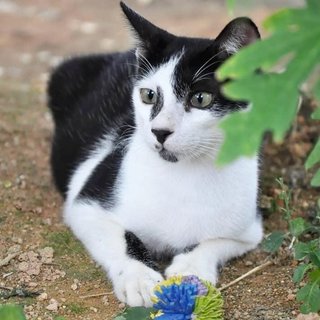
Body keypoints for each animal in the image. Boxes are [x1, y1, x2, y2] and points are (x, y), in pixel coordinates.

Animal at [47, 1, 262, 308]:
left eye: (201, 99)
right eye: (148, 95)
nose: (159, 131)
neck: (183, 175)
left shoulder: (249, 231)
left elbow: (213, 241)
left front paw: (191, 268)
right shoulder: (85, 205)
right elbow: (122, 238)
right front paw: (138, 278)